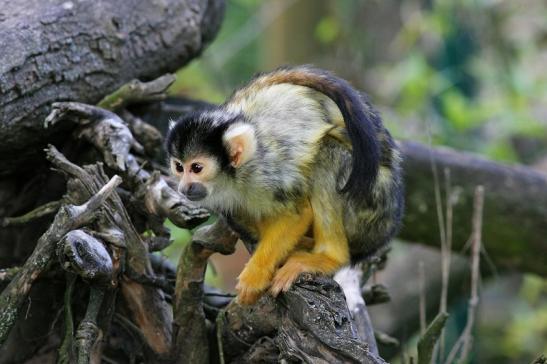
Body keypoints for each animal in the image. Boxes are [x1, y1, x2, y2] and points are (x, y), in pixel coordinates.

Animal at [165, 64, 404, 304]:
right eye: (179, 167)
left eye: (196, 168)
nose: (184, 187)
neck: (235, 176)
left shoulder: (269, 170)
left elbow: (297, 213)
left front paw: (255, 275)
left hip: (369, 204)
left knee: (327, 152)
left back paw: (328, 256)